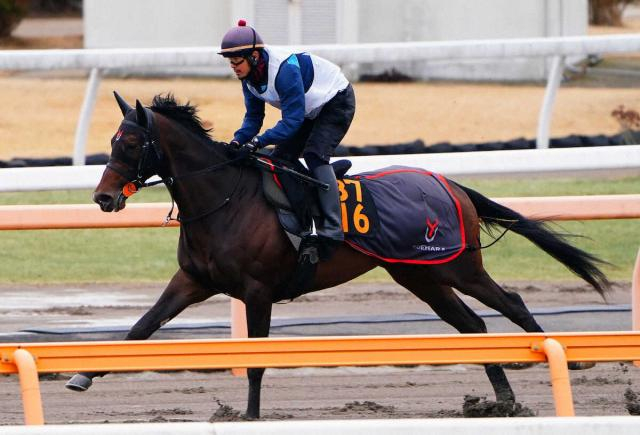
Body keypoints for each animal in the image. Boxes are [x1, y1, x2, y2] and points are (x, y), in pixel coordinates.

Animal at [65, 92, 610, 419]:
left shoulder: (258, 291)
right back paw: (503, 402)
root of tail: (452, 184)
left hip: (458, 265)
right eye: (111, 140)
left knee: (510, 302)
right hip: (420, 276)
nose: (103, 198)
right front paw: (81, 376)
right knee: (473, 327)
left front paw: (251, 415)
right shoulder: (193, 281)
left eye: (131, 142)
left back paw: (569, 359)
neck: (226, 198)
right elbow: (140, 328)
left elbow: (257, 360)